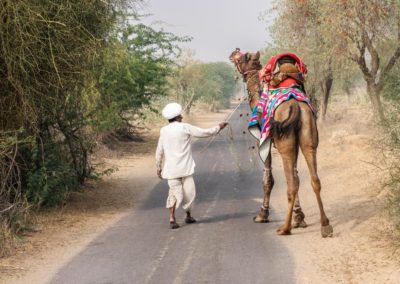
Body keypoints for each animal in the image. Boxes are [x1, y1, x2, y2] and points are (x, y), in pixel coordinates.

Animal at [230, 49, 332, 237]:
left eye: (241, 57)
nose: (233, 53)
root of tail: (296, 107)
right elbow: (297, 176)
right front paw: (299, 217)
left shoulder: (263, 139)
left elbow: (268, 178)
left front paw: (262, 215)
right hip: (308, 138)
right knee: (314, 180)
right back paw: (325, 226)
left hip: (285, 144)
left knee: (290, 184)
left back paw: (285, 228)